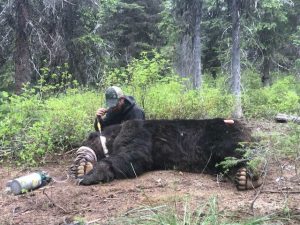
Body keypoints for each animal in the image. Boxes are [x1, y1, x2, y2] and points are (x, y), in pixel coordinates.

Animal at [69, 118, 262, 191]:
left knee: (237, 153)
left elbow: (134, 155)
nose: (78, 155)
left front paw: (87, 176)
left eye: (87, 139)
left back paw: (249, 176)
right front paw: (82, 169)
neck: (114, 134)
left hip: (221, 136)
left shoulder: (137, 132)